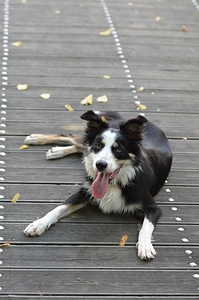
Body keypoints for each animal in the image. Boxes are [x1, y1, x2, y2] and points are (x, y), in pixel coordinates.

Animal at [23, 110, 173, 260]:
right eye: (98, 146)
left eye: (118, 150)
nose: (100, 165)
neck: (115, 184)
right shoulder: (85, 191)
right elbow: (58, 208)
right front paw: (39, 224)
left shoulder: (153, 208)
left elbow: (146, 227)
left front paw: (145, 246)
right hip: (87, 137)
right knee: (72, 138)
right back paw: (36, 139)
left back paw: (55, 150)